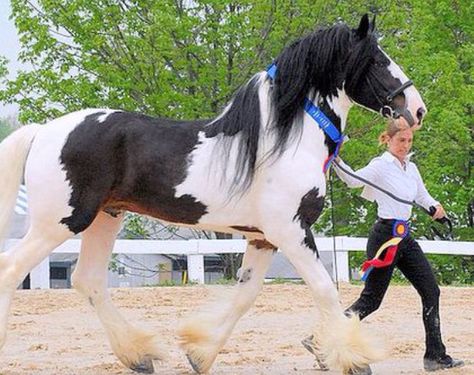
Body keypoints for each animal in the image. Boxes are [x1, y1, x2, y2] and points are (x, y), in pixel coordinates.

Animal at [0, 15, 426, 375]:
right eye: (378, 59)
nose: (418, 110)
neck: (286, 142)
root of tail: (42, 131)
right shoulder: (291, 231)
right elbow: (323, 290)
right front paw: (355, 360)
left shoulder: (263, 237)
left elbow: (245, 295)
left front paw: (199, 353)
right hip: (61, 221)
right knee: (12, 269)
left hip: (106, 216)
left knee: (87, 280)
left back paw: (139, 356)